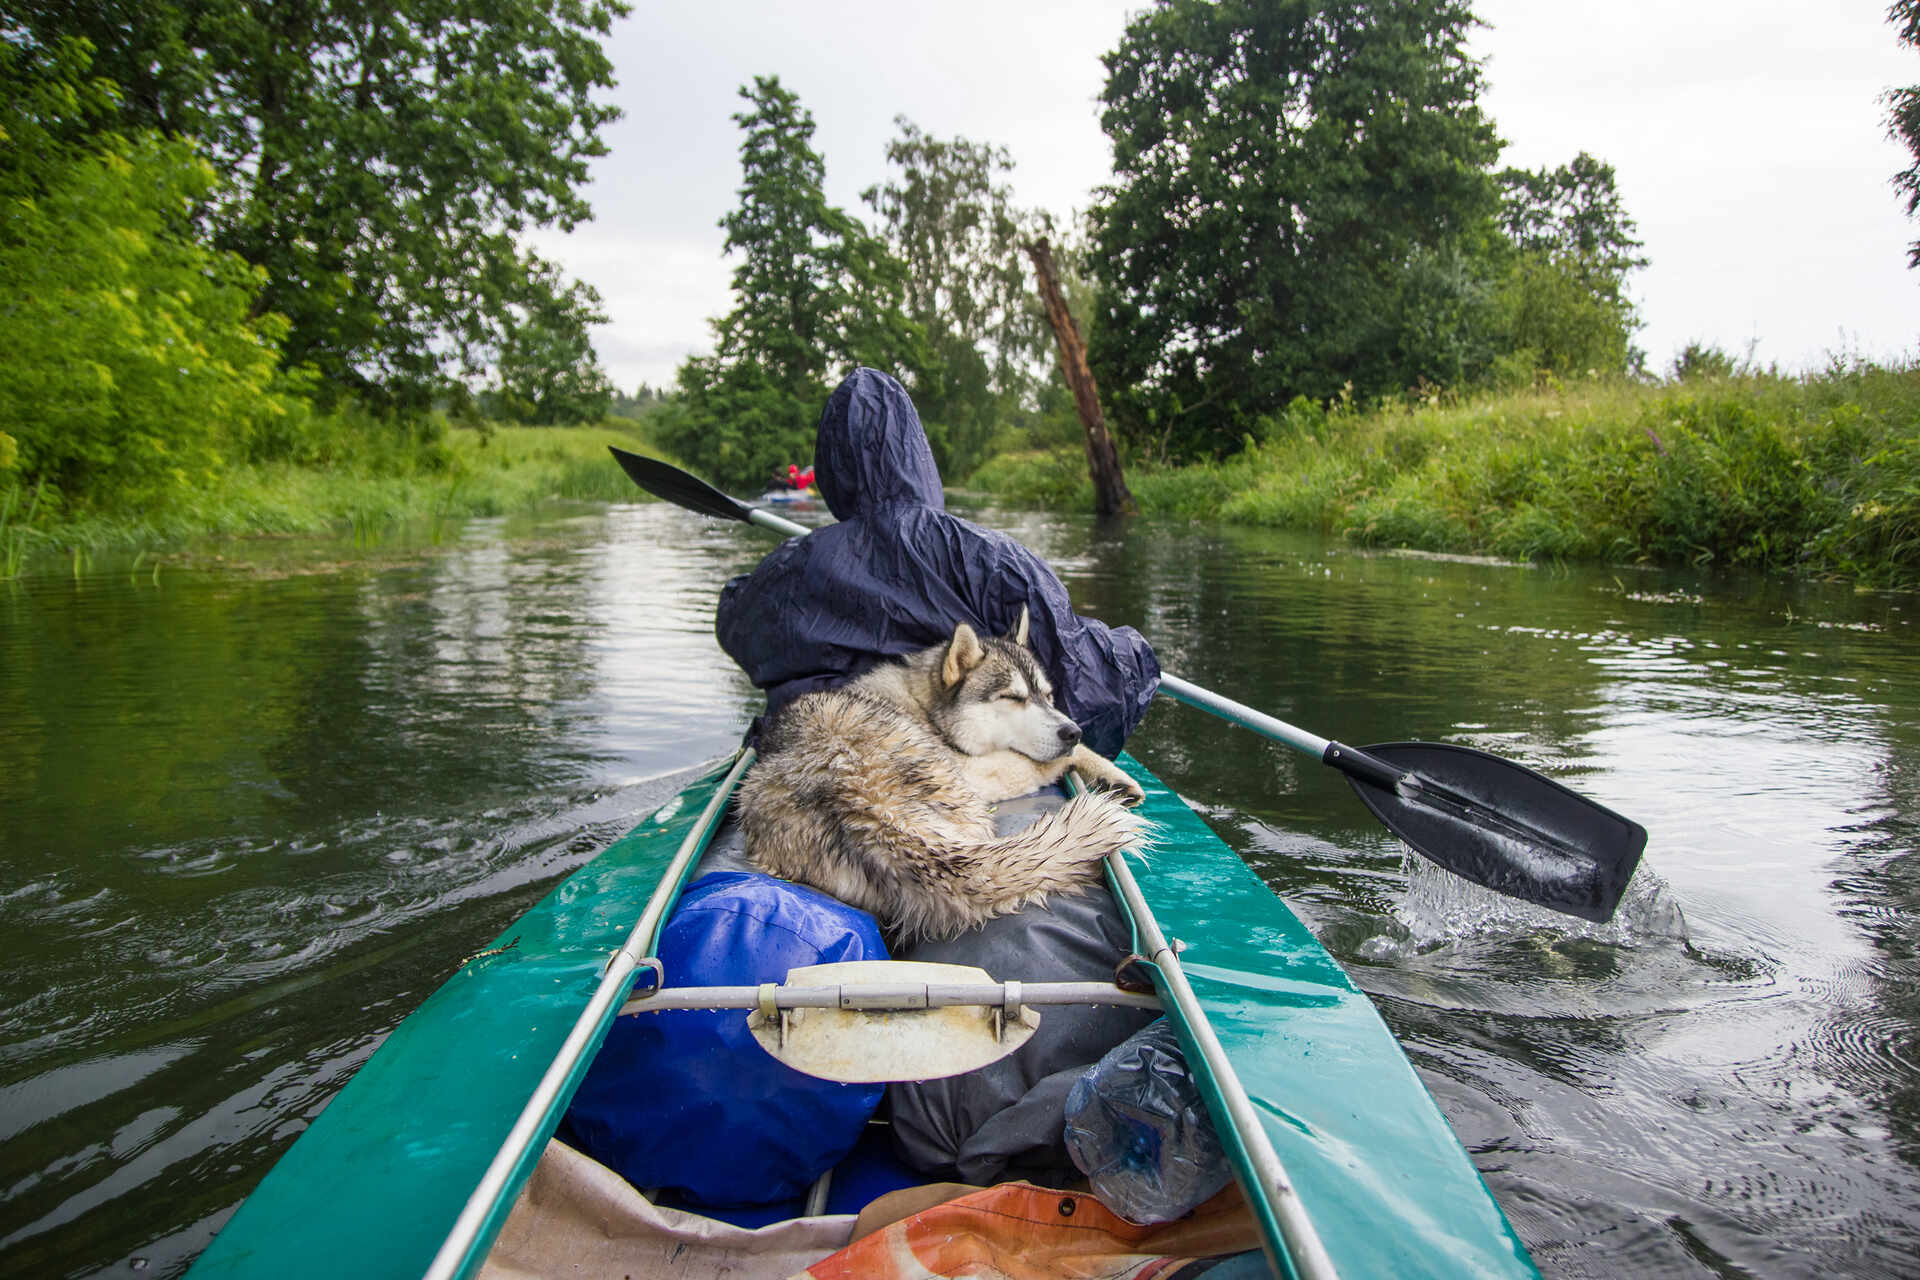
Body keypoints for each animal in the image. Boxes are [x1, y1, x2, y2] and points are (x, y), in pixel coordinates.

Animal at [737, 610, 1144, 940]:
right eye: (1012, 698)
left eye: (1046, 695)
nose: (1071, 730)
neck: (921, 702)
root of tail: (869, 805)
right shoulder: (976, 766)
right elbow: (1047, 759)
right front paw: (1107, 771)